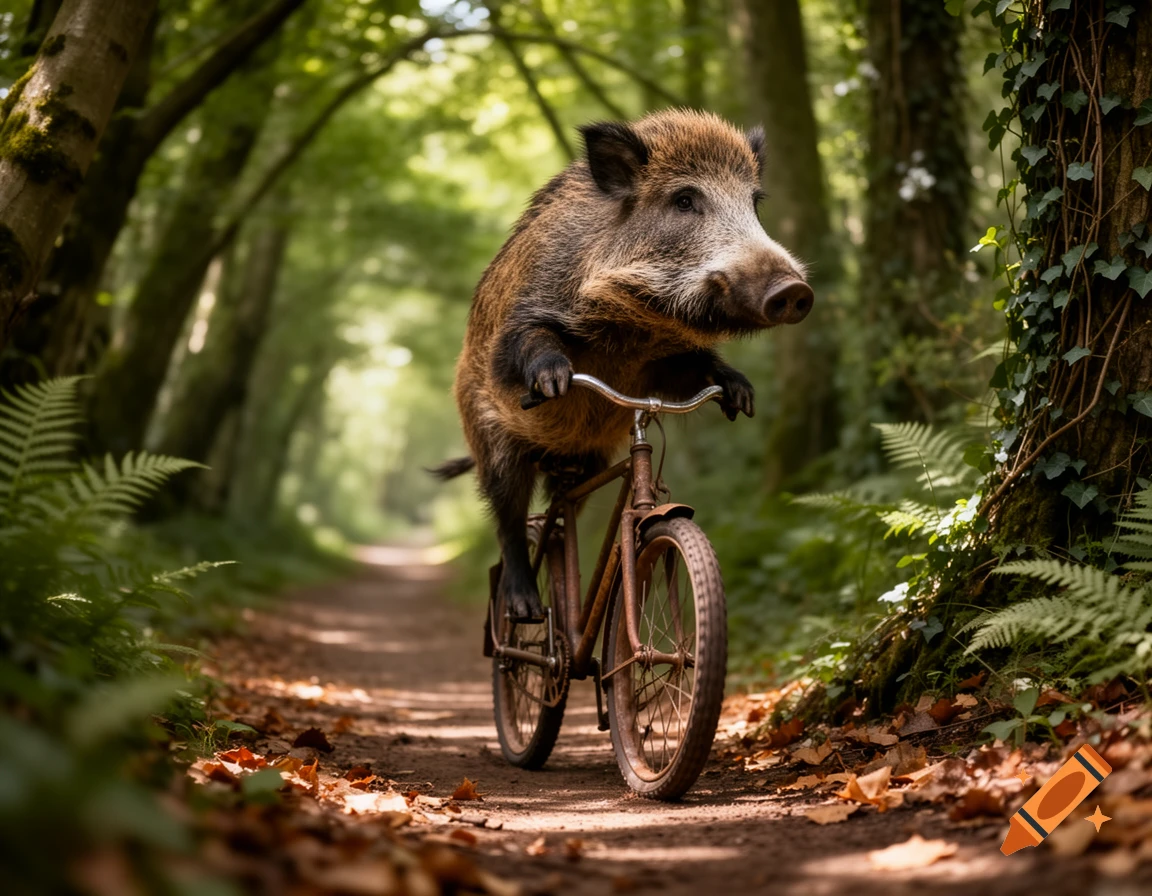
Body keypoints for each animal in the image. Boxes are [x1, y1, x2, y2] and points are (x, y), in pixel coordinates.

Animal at [434, 109, 813, 620]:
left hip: (588, 458)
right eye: (684, 200)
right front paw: (553, 380)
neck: (633, 330)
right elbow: (529, 340)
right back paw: (526, 606)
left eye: (754, 203)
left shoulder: (665, 364)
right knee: (508, 520)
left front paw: (741, 394)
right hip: (492, 443)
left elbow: (699, 366)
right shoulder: (524, 315)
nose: (795, 290)